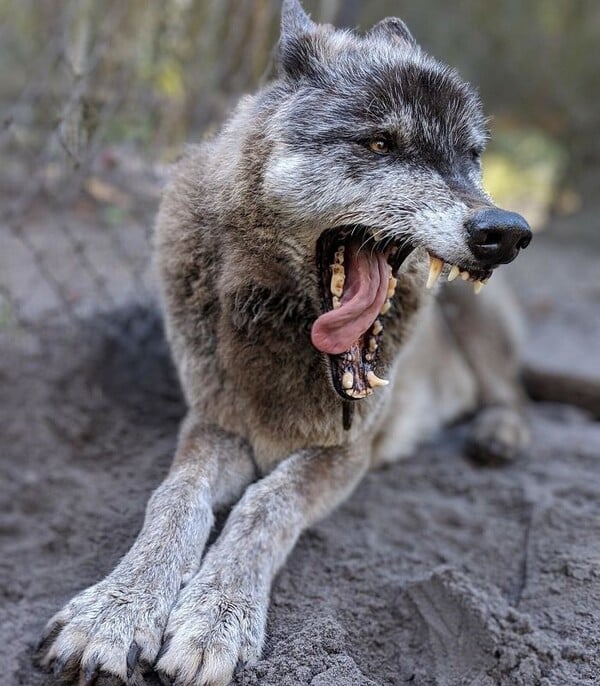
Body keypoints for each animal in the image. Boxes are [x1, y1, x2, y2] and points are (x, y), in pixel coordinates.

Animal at [39, 1, 532, 686]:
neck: (280, 335)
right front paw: (114, 611)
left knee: (516, 395)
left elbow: (265, 504)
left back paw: (498, 434)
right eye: (381, 143)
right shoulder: (213, 423)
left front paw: (215, 620)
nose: (505, 232)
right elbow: (174, 499)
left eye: (471, 156)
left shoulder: (344, 452)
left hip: (476, 323)